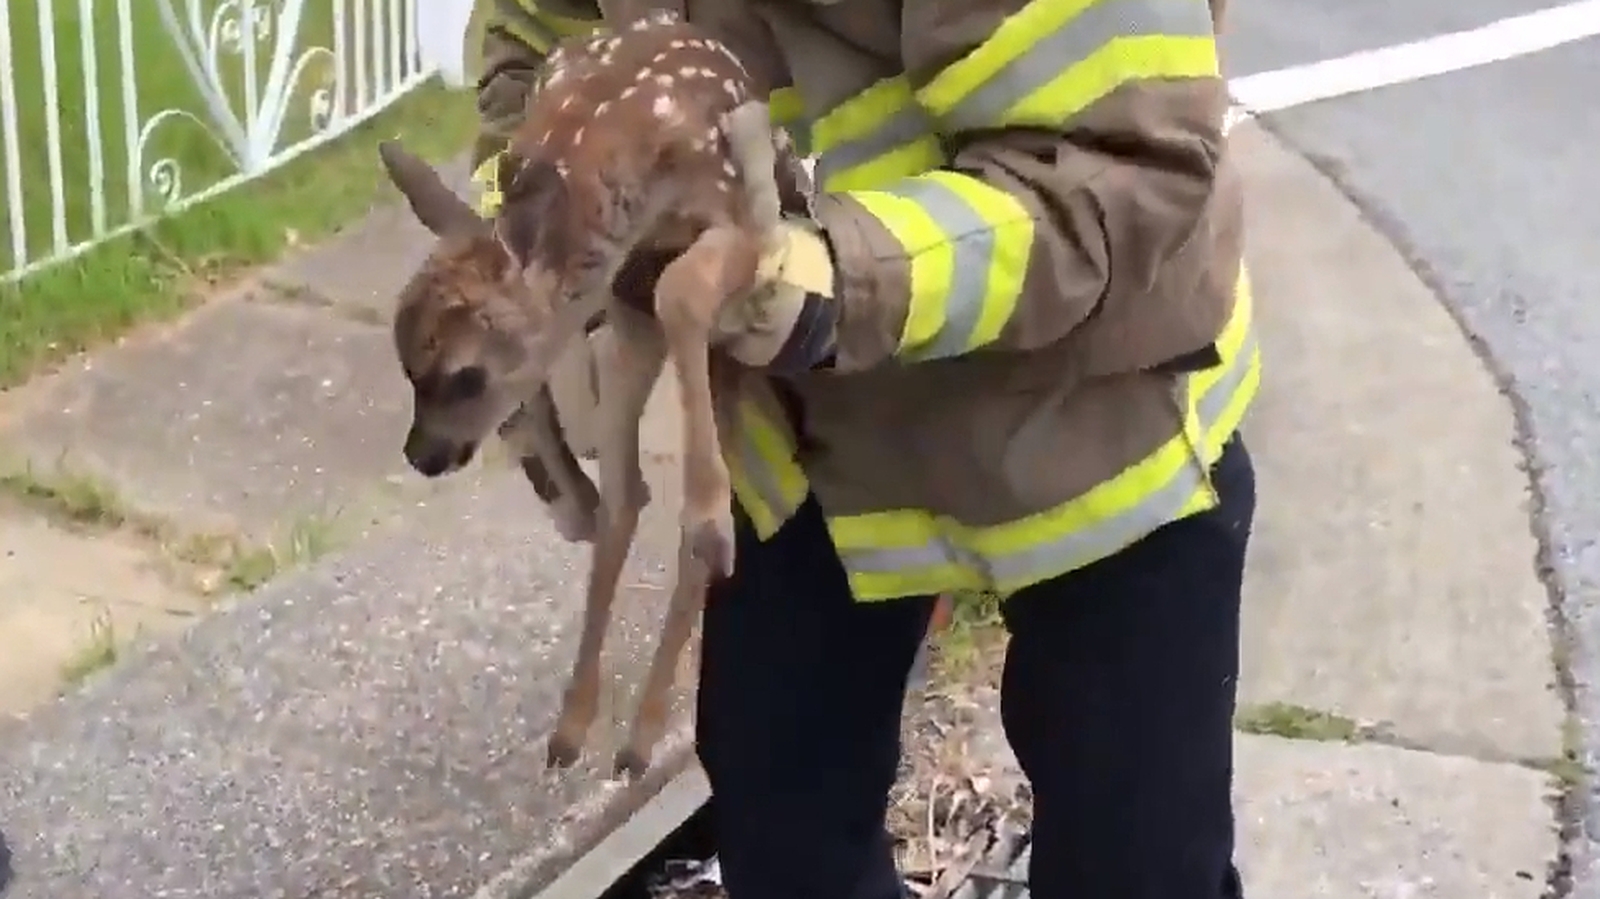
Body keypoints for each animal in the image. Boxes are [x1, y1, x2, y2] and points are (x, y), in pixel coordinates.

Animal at [376, 8, 811, 779]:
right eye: (407, 368)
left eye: (465, 374)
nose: (422, 454)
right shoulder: (621, 298)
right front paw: (568, 492)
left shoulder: (734, 204)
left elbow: (683, 289)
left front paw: (707, 518)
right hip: (635, 343)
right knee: (627, 495)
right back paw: (582, 727)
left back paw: (640, 730)